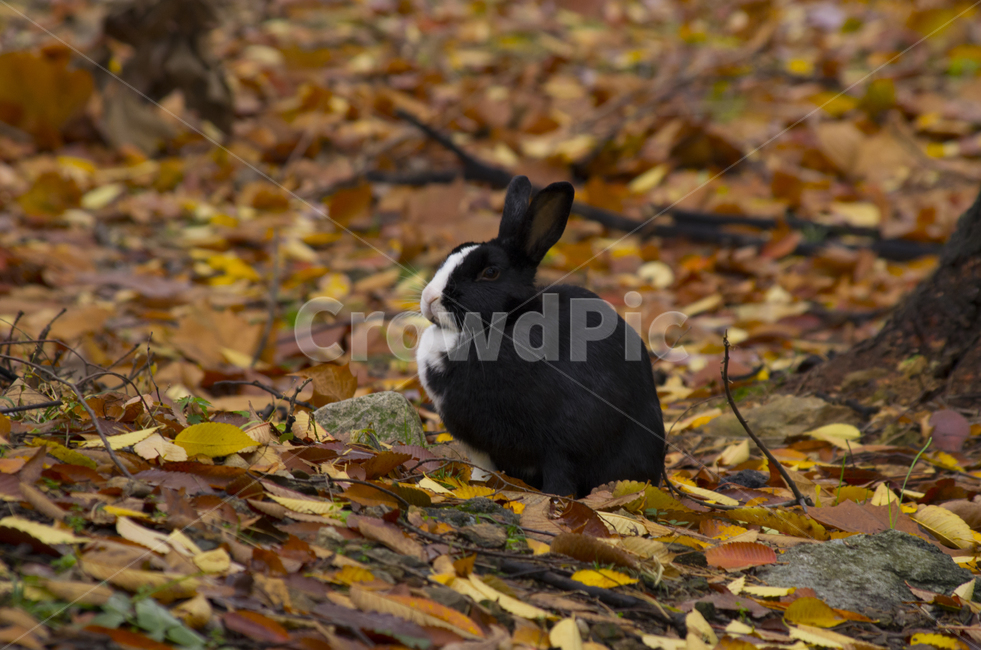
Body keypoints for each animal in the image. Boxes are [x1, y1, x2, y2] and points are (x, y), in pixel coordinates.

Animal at [416, 175, 666, 498]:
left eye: (490, 272)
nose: (429, 298)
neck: (498, 322)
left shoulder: (558, 443)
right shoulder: (478, 446)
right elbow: (482, 469)